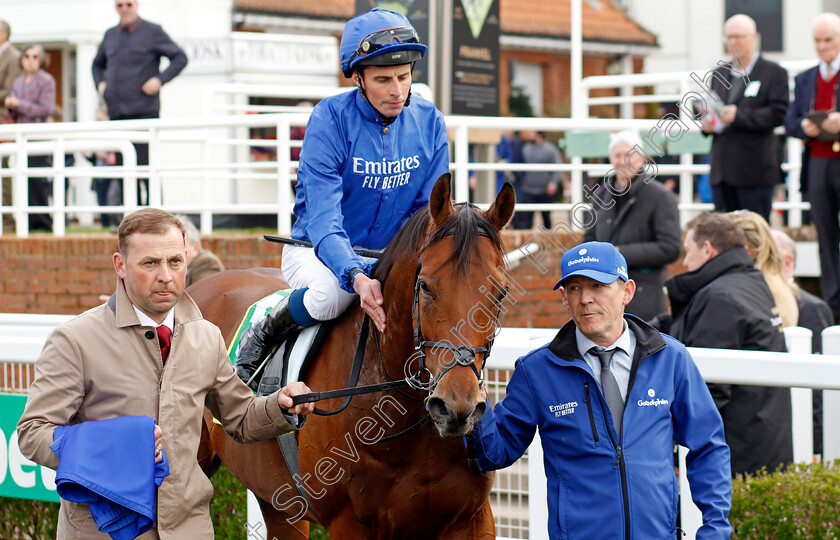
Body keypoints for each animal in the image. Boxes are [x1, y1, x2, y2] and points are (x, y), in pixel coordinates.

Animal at [191, 175, 520, 536]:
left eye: (500, 292)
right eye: (425, 286)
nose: (457, 406)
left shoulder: (472, 518)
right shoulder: (350, 523)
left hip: (278, 503)